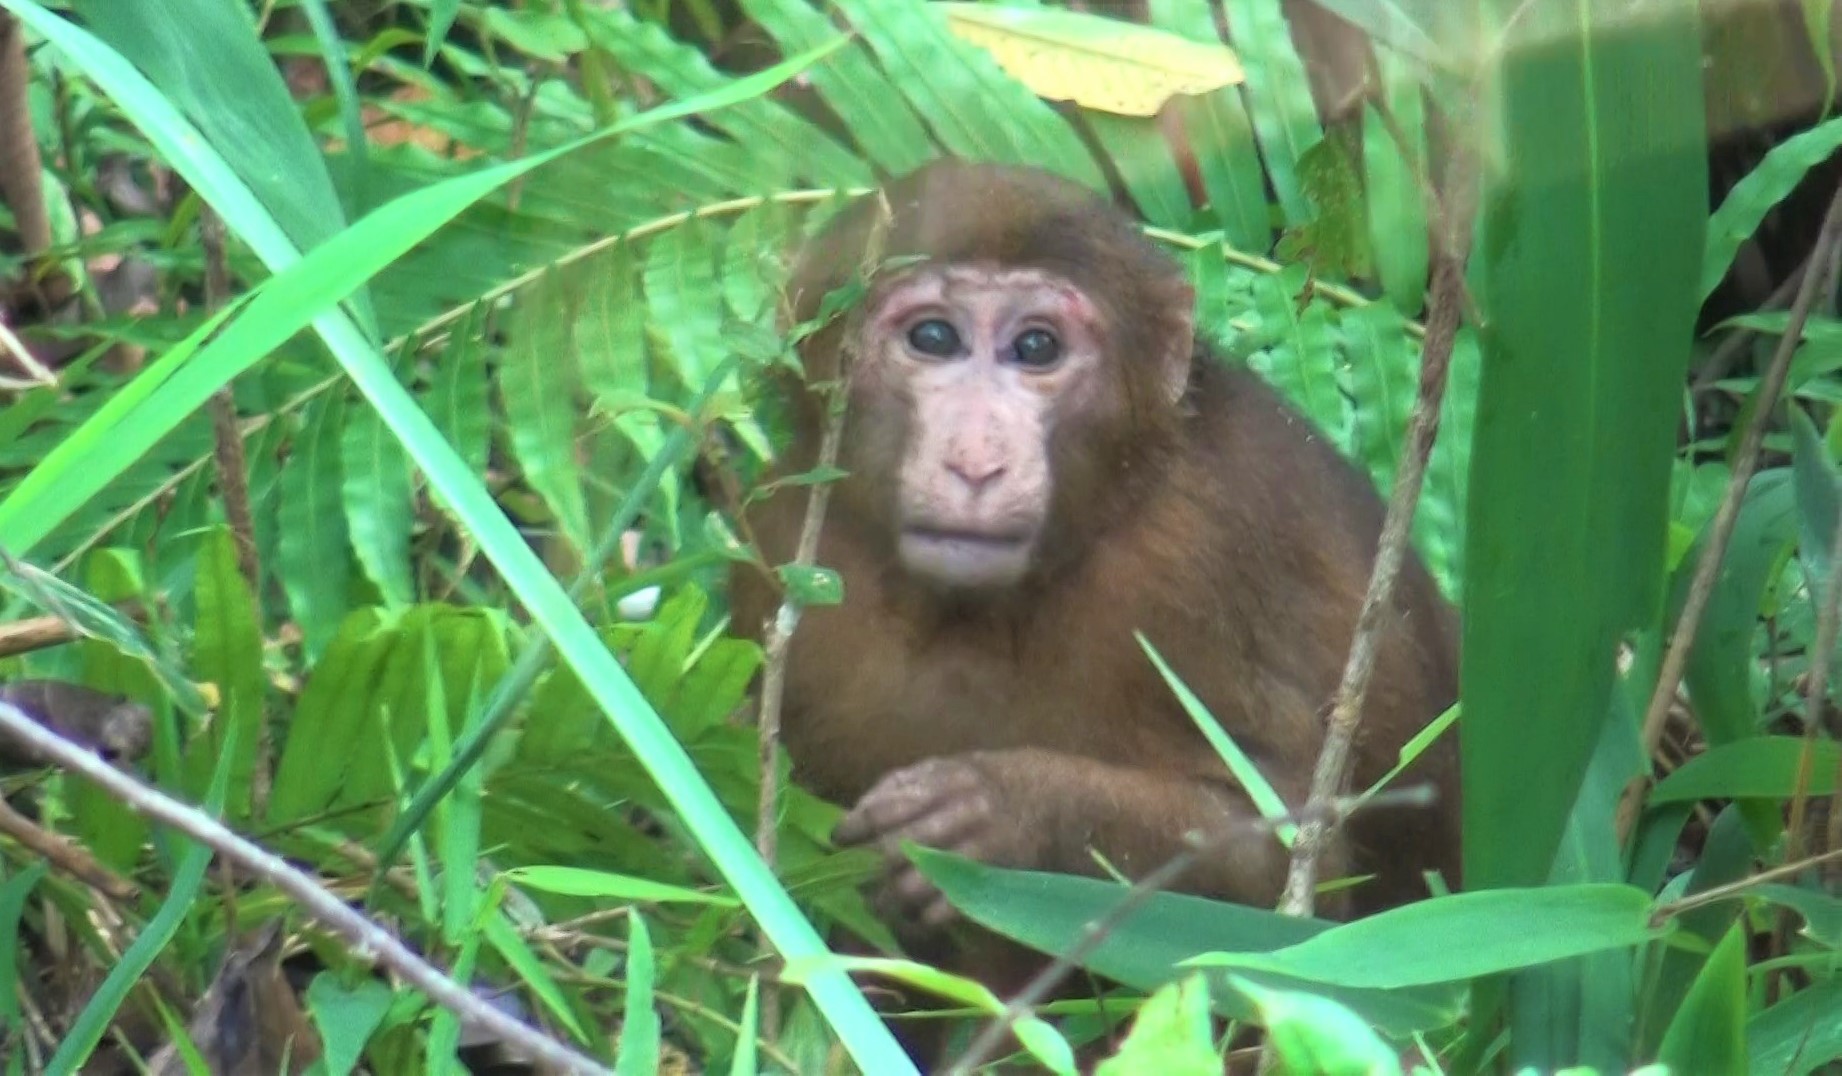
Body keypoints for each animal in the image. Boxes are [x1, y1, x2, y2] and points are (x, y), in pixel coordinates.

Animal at [725, 159, 1458, 1024]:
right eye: (932, 338)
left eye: (1036, 347)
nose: (976, 461)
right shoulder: (776, 537)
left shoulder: (1207, 554)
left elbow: (1290, 889)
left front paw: (1007, 809)